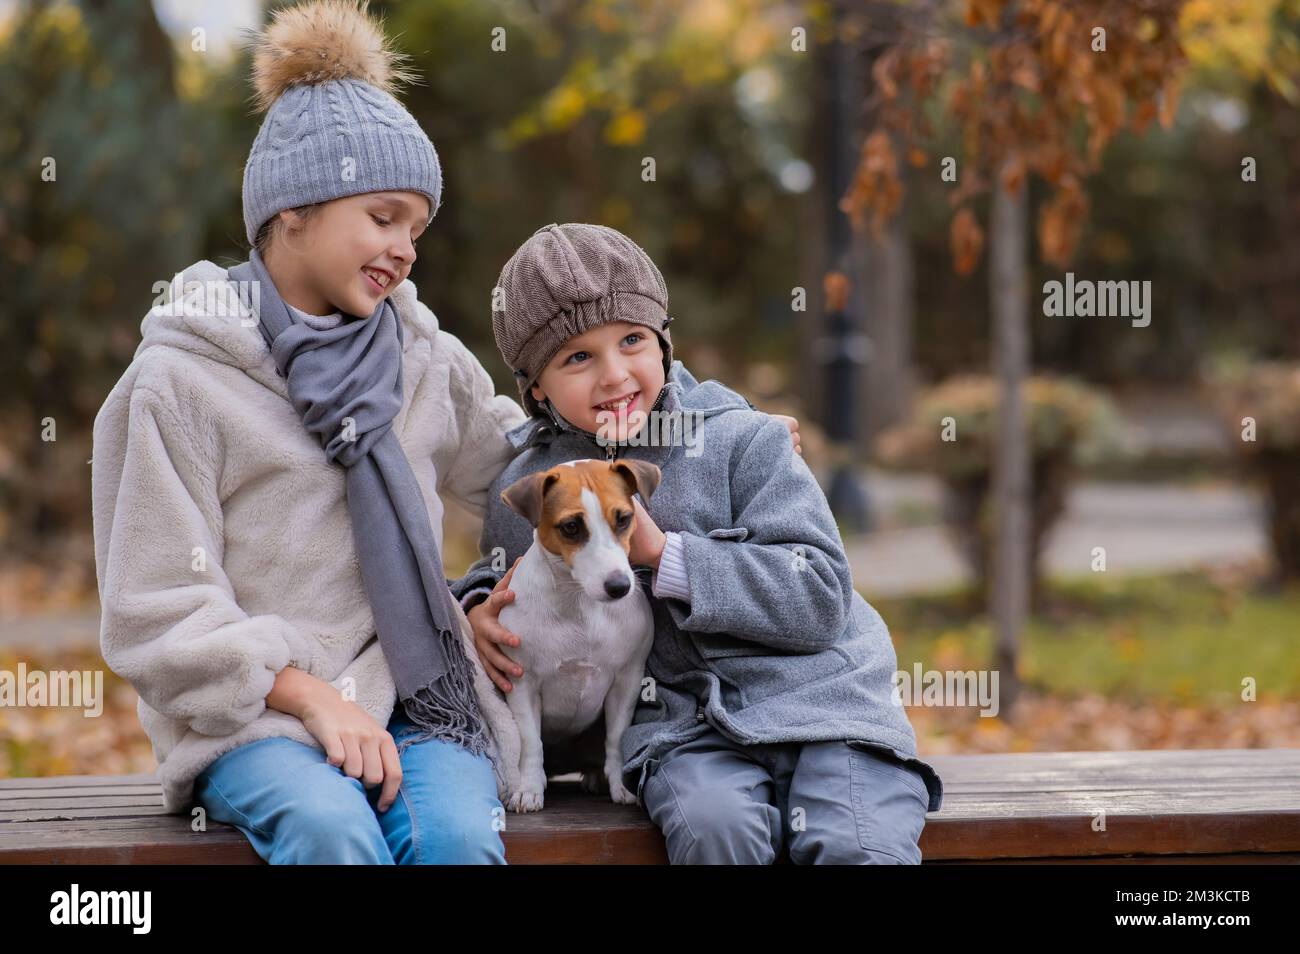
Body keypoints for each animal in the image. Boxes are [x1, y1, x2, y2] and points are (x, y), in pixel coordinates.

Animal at [496, 462, 660, 816]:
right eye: (571, 527)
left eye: (624, 518)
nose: (619, 586)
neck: (579, 603)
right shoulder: (522, 683)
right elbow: (530, 741)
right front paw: (529, 789)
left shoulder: (626, 681)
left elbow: (616, 739)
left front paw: (619, 785)